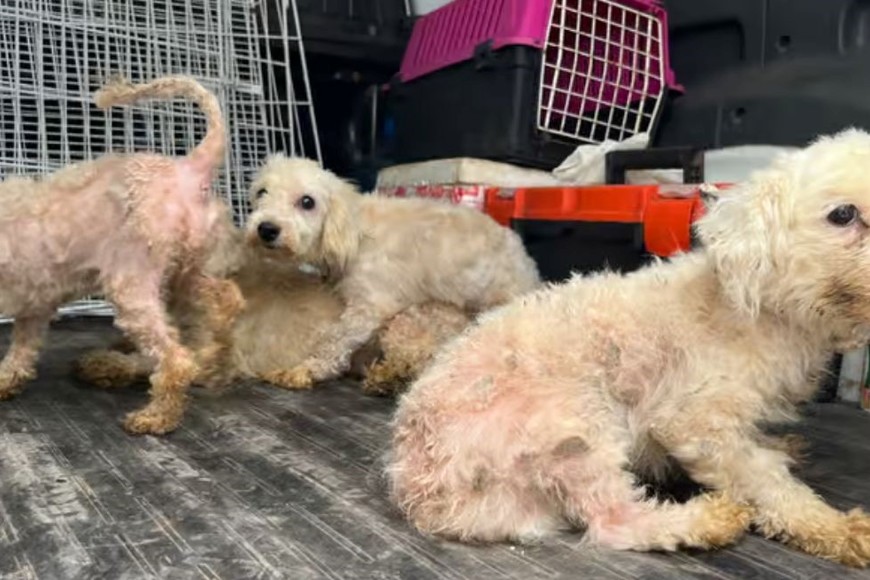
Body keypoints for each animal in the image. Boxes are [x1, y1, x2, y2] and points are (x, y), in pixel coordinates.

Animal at [0, 75, 242, 435]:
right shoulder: (35, 301)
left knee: (176, 358)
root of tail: (189, 167)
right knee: (226, 300)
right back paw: (215, 360)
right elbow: (22, 347)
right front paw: (7, 380)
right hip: (187, 269)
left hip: (133, 281)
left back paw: (157, 416)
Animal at [245, 155, 541, 390]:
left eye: (307, 202)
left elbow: (335, 342)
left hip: (408, 322)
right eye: (261, 192)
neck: (355, 231)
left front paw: (305, 370)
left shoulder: (369, 308)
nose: (266, 229)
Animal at [387, 128, 870, 566]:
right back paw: (707, 521)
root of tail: (423, 492)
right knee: (612, 521)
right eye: (843, 214)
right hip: (575, 419)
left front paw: (780, 445)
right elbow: (766, 481)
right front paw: (833, 527)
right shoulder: (692, 422)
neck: (763, 308)